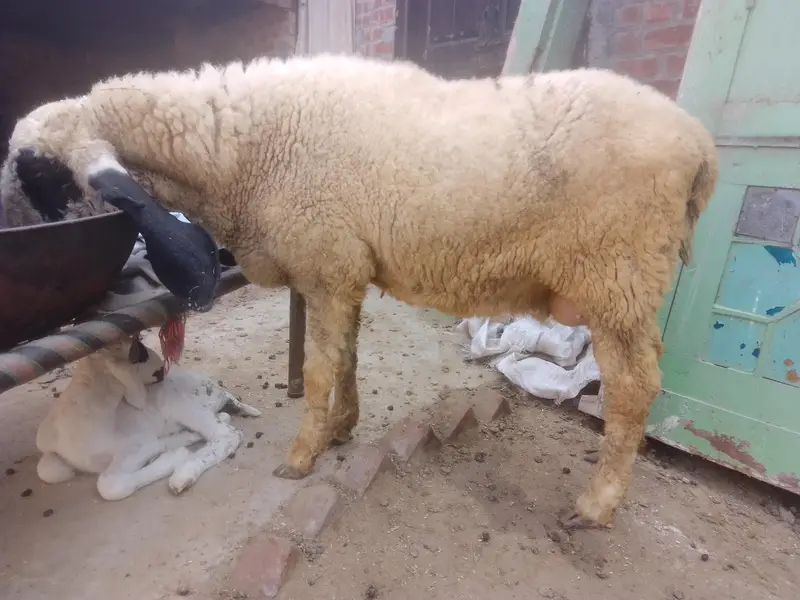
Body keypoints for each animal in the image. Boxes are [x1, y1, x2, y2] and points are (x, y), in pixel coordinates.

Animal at [35, 336, 261, 500]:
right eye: (138, 353)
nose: (162, 369)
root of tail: (218, 388)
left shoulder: (136, 445)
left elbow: (109, 485)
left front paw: (174, 456)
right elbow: (46, 470)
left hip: (181, 403)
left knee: (226, 434)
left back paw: (183, 473)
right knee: (222, 420)